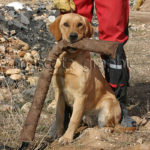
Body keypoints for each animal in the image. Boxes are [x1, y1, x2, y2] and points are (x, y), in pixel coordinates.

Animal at [48, 13, 135, 145]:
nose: (73, 36)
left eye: (80, 24)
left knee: (112, 125)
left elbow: (73, 119)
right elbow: (59, 115)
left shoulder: (80, 96)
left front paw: (67, 137)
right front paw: (57, 133)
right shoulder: (59, 93)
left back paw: (106, 129)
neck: (69, 60)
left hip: (107, 107)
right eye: (65, 24)